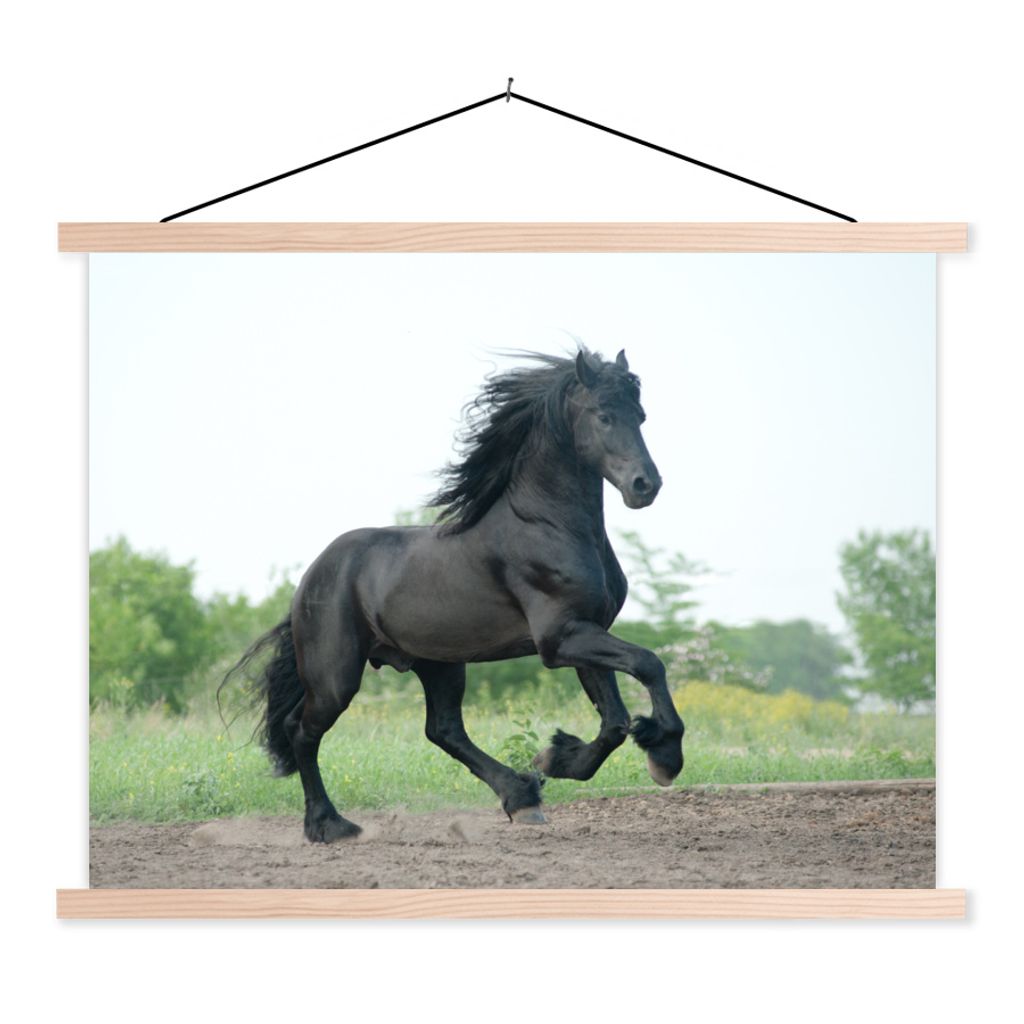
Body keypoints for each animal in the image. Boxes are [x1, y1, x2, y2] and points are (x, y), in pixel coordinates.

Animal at [224, 347, 685, 843]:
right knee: (302, 730)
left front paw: (556, 759)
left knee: (443, 730)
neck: (547, 526)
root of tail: (311, 576)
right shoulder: (560, 639)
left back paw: (521, 796)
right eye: (603, 415)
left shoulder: (584, 632)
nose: (646, 486)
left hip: (438, 663)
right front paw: (665, 757)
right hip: (336, 675)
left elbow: (615, 721)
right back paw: (330, 825)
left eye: (640, 415)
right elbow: (649, 664)